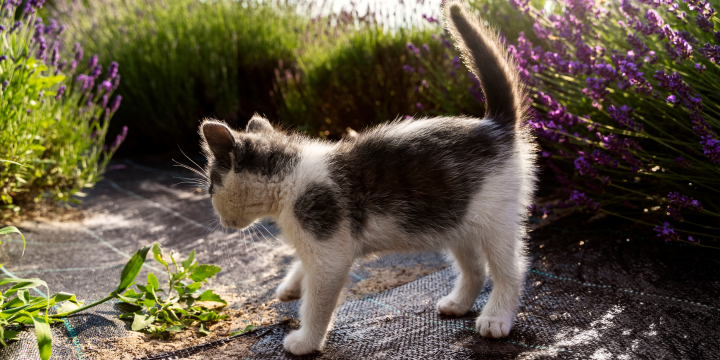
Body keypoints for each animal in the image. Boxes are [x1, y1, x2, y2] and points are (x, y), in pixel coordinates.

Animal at [200, 0, 536, 354]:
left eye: (210, 186)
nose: (218, 216)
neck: (290, 177)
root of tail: (494, 125)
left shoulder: (329, 252)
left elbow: (317, 301)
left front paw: (306, 341)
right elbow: (302, 266)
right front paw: (291, 284)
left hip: (496, 218)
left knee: (511, 270)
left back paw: (496, 318)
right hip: (456, 218)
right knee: (475, 268)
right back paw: (458, 303)